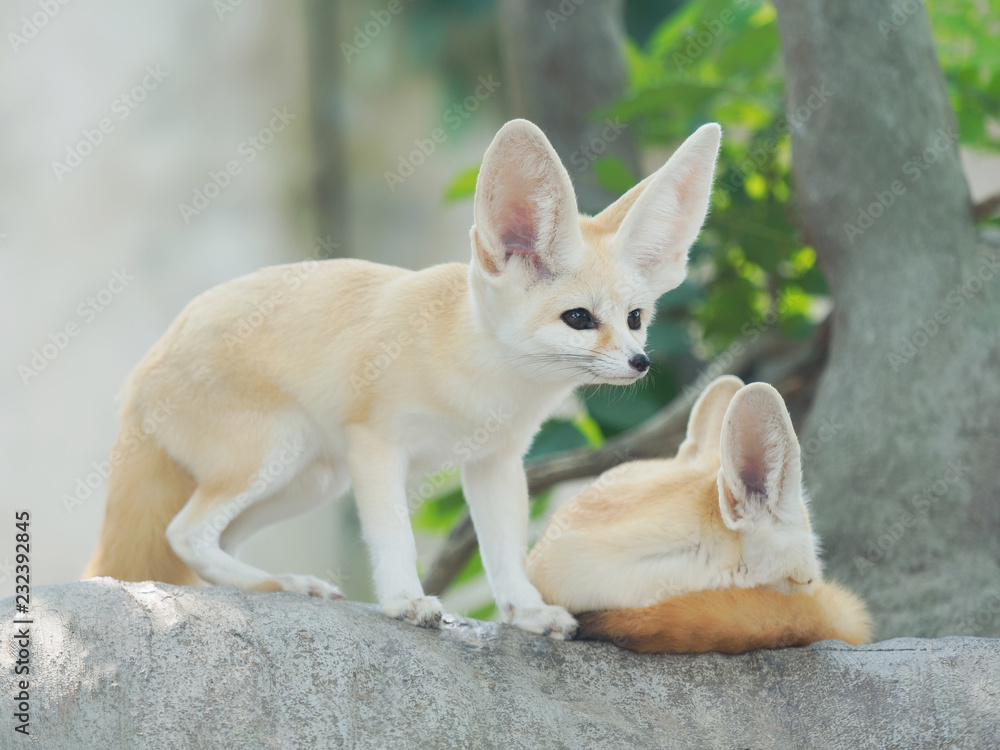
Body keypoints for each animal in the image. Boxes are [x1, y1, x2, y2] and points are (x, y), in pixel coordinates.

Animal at [83, 118, 723, 638]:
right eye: (579, 319)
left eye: (635, 318)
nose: (641, 363)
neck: (484, 386)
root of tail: (139, 374)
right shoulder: (376, 444)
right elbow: (394, 535)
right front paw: (404, 602)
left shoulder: (495, 461)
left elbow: (505, 552)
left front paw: (526, 611)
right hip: (279, 452)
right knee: (183, 533)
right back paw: (280, 585)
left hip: (310, 480)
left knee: (212, 541)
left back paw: (273, 584)